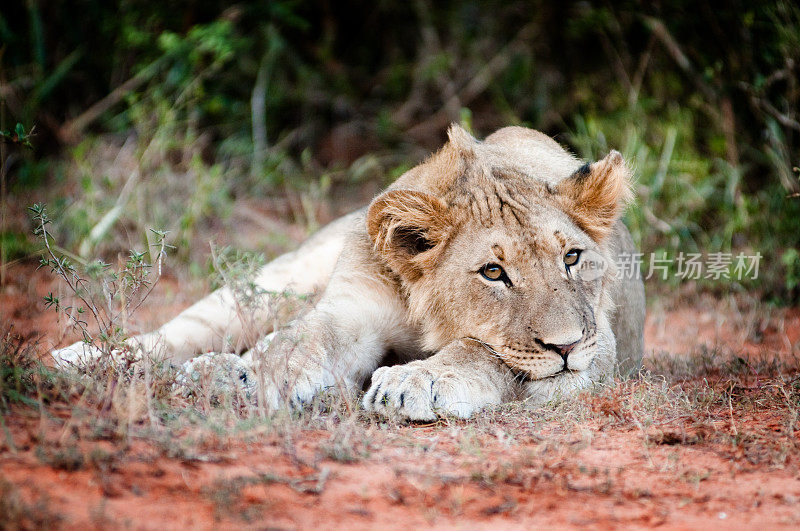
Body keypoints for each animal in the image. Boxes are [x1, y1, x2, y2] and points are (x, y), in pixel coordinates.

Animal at [53, 123, 648, 420]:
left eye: (571, 258)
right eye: (493, 272)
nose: (566, 346)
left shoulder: (602, 348)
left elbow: (483, 353)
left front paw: (418, 380)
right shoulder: (353, 305)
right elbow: (299, 341)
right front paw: (247, 379)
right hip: (274, 284)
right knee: (181, 332)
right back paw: (85, 360)